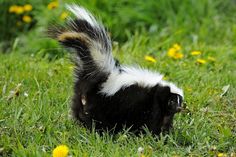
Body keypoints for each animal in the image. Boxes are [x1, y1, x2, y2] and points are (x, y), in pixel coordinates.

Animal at [48, 5, 183, 135]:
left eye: (180, 101)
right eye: (172, 101)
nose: (179, 108)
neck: (159, 89)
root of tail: (97, 79)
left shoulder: (162, 110)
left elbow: (164, 121)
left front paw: (166, 134)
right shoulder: (151, 104)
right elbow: (152, 122)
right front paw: (153, 135)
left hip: (80, 100)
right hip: (101, 105)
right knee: (97, 120)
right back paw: (99, 132)